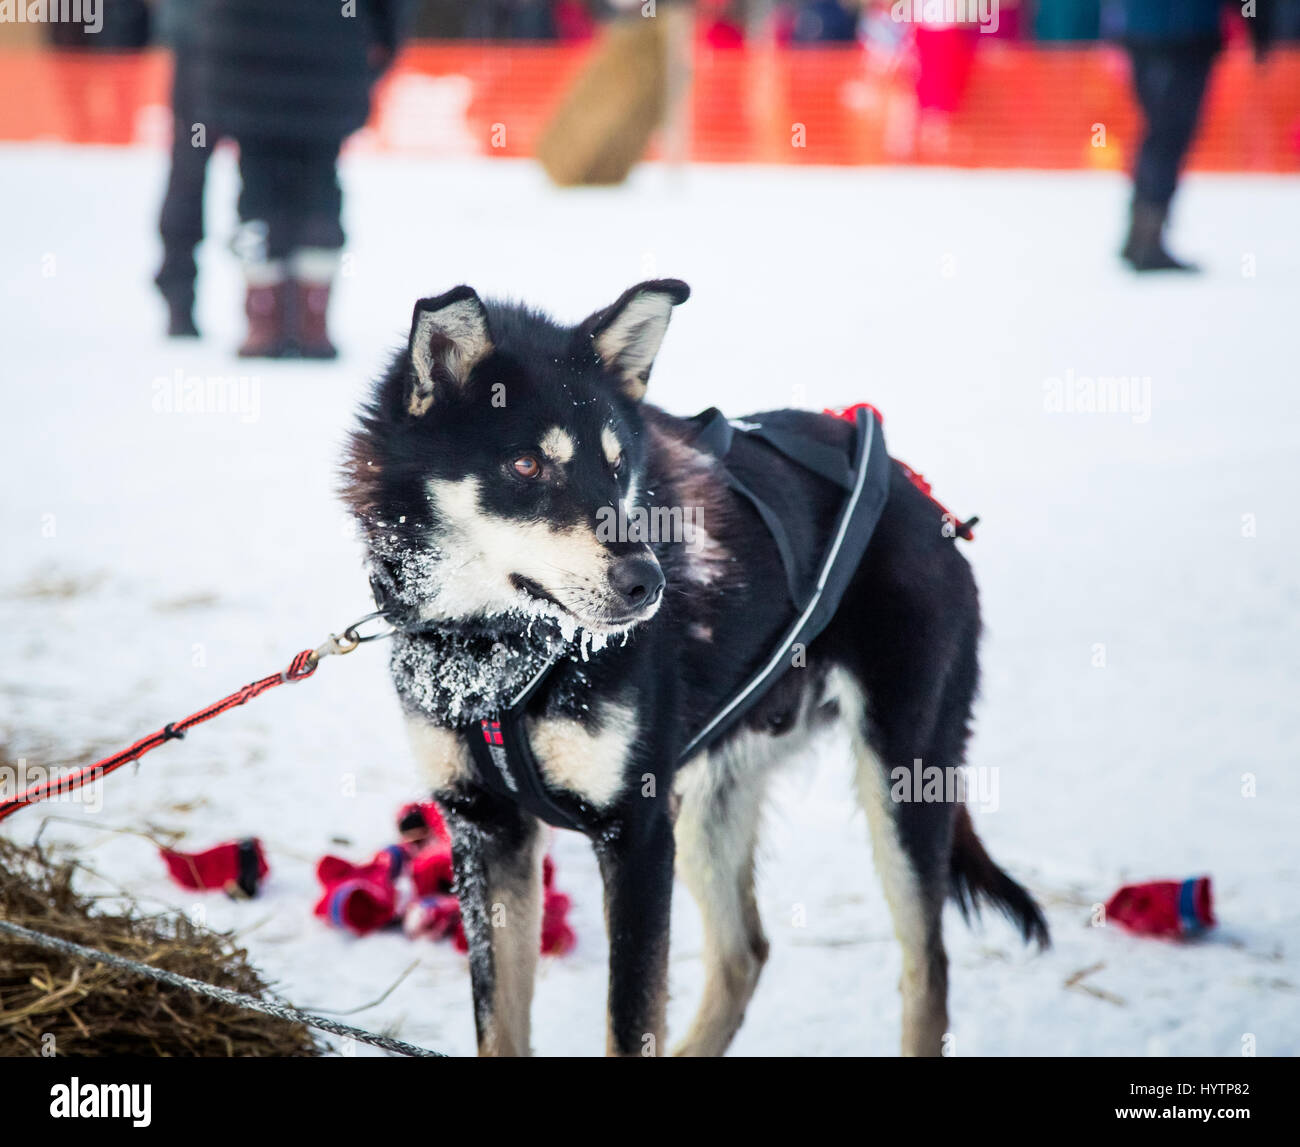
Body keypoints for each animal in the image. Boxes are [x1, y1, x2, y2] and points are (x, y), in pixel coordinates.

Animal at [343, 279, 1045, 1055]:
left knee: (928, 966)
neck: (497, 653)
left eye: (618, 465)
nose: (646, 582)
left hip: (901, 776)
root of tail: (920, 493)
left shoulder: (638, 830)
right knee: (745, 952)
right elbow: (501, 1027)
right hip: (714, 791)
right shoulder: (486, 827)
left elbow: (630, 1022)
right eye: (526, 466)